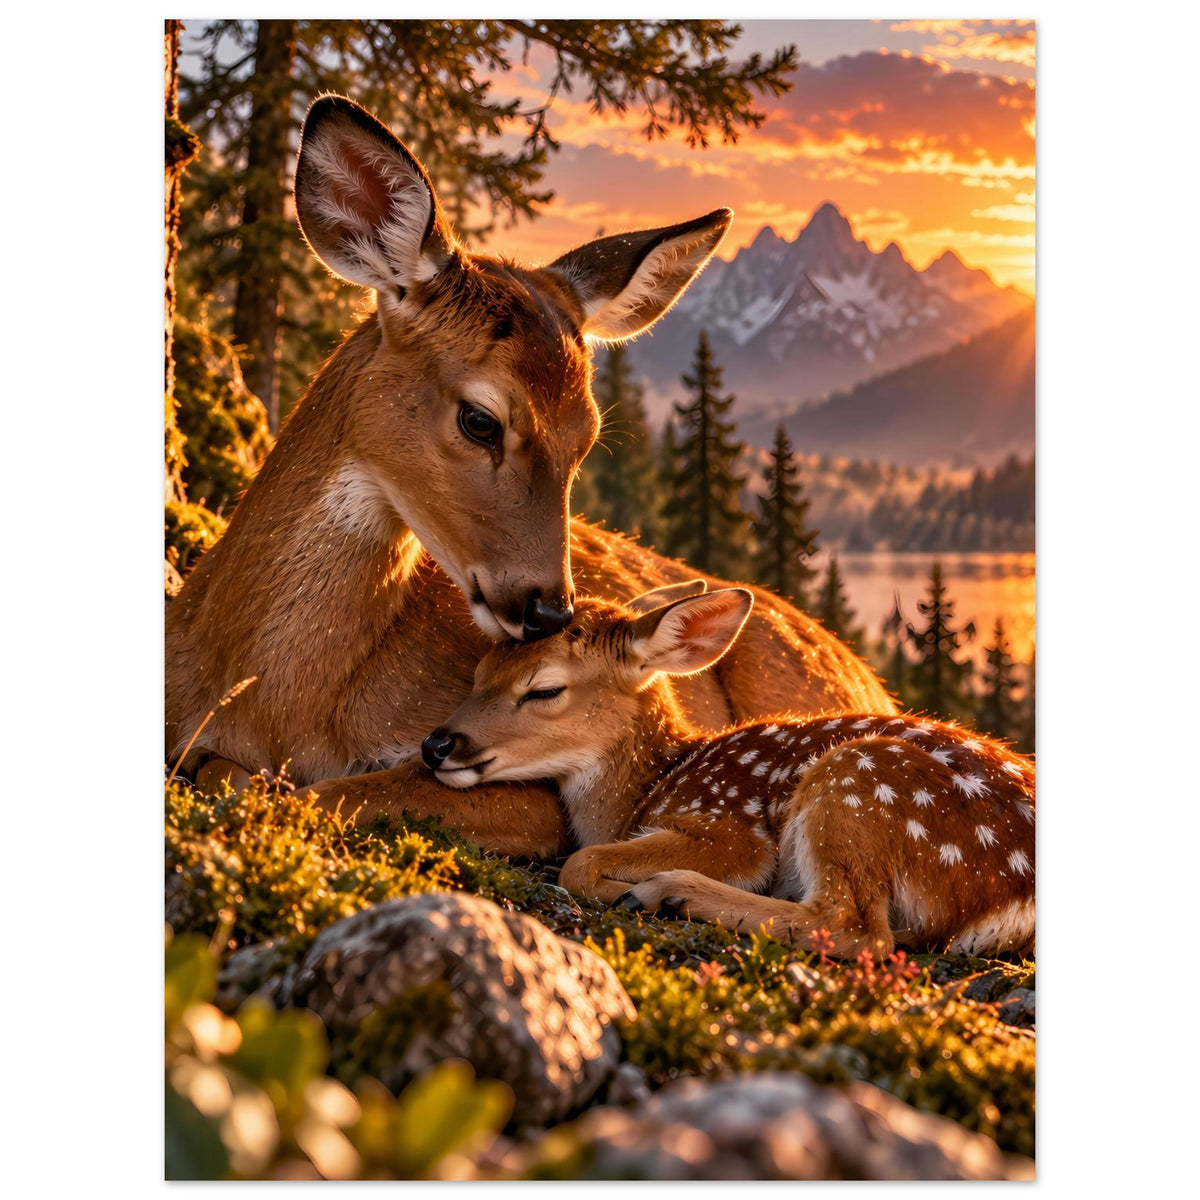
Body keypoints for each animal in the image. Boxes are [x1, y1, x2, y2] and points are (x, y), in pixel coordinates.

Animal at [166, 94, 895, 863]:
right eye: (480, 419)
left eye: (588, 437)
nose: (551, 611)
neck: (268, 700)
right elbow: (231, 772)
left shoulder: (532, 794)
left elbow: (328, 790)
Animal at [422, 583, 1036, 958]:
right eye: (479, 670)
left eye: (545, 689)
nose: (436, 745)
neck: (646, 788)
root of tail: (1015, 897)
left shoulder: (729, 826)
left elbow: (582, 860)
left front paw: (623, 885)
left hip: (858, 781)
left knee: (856, 927)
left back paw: (667, 892)